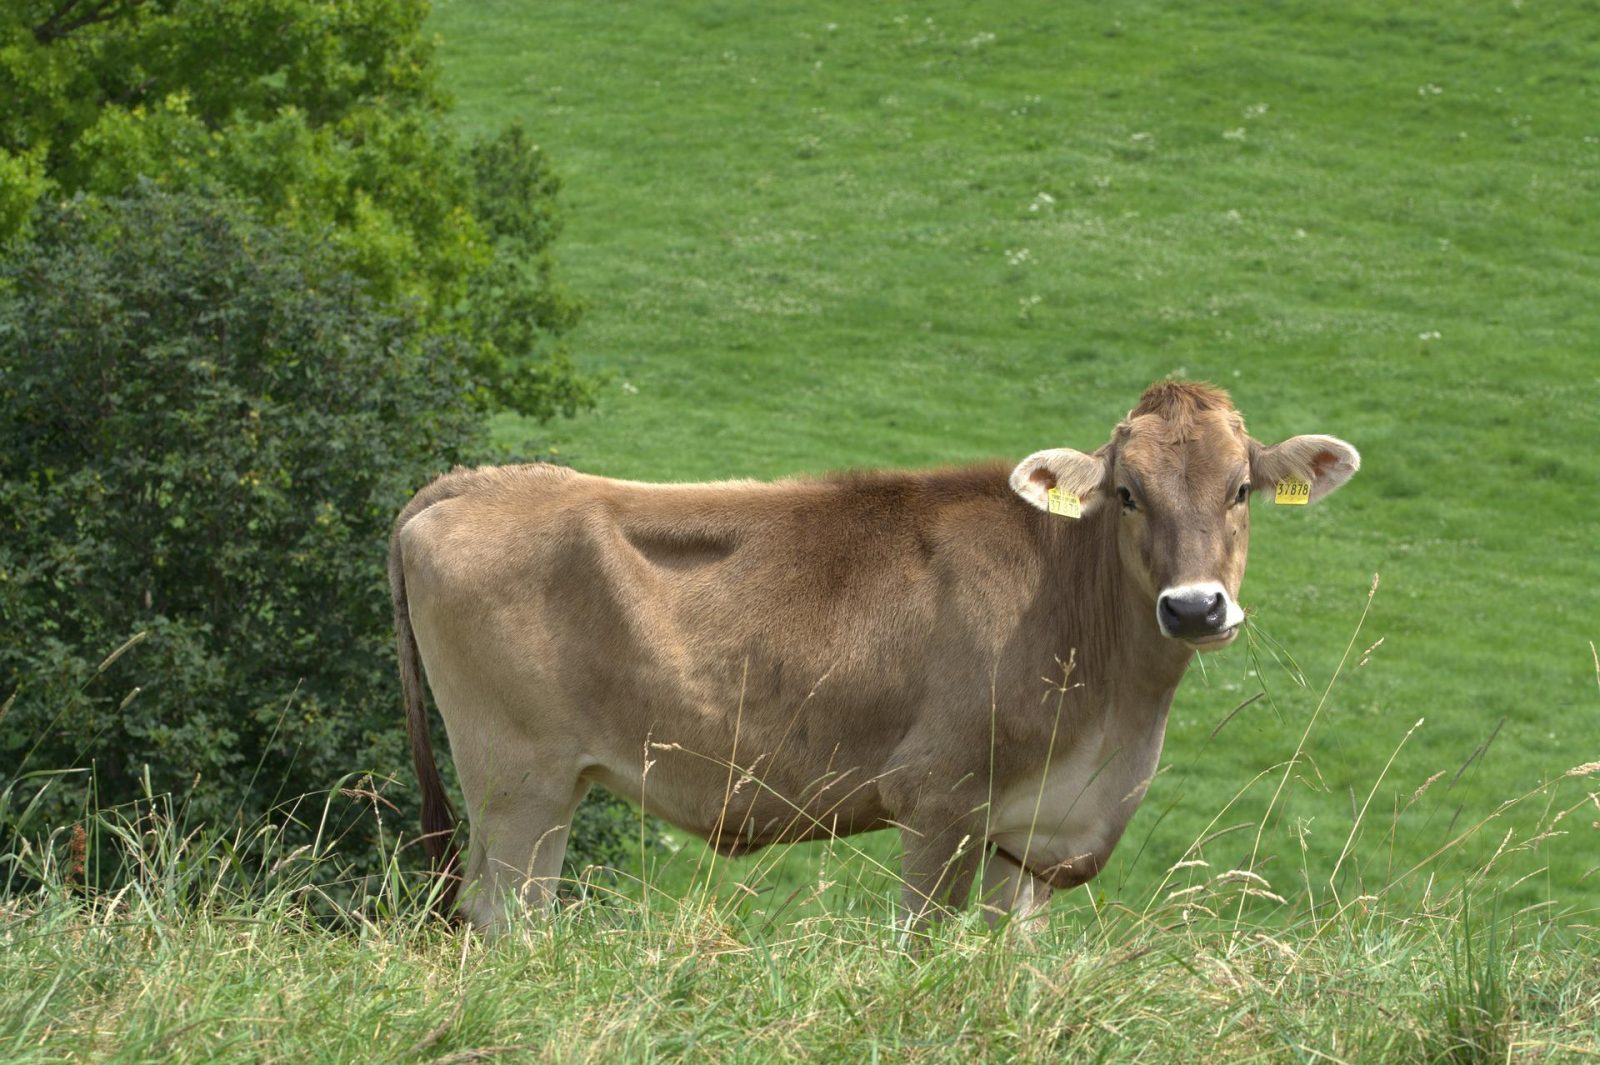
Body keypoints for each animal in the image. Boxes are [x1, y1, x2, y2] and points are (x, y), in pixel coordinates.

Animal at [390, 377, 1363, 927]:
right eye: (1127, 493)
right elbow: (917, 946)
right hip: (520, 781)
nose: (1195, 607)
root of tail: (478, 481)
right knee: (505, 918)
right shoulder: (939, 802)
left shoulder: (1035, 838)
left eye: (1240, 489)